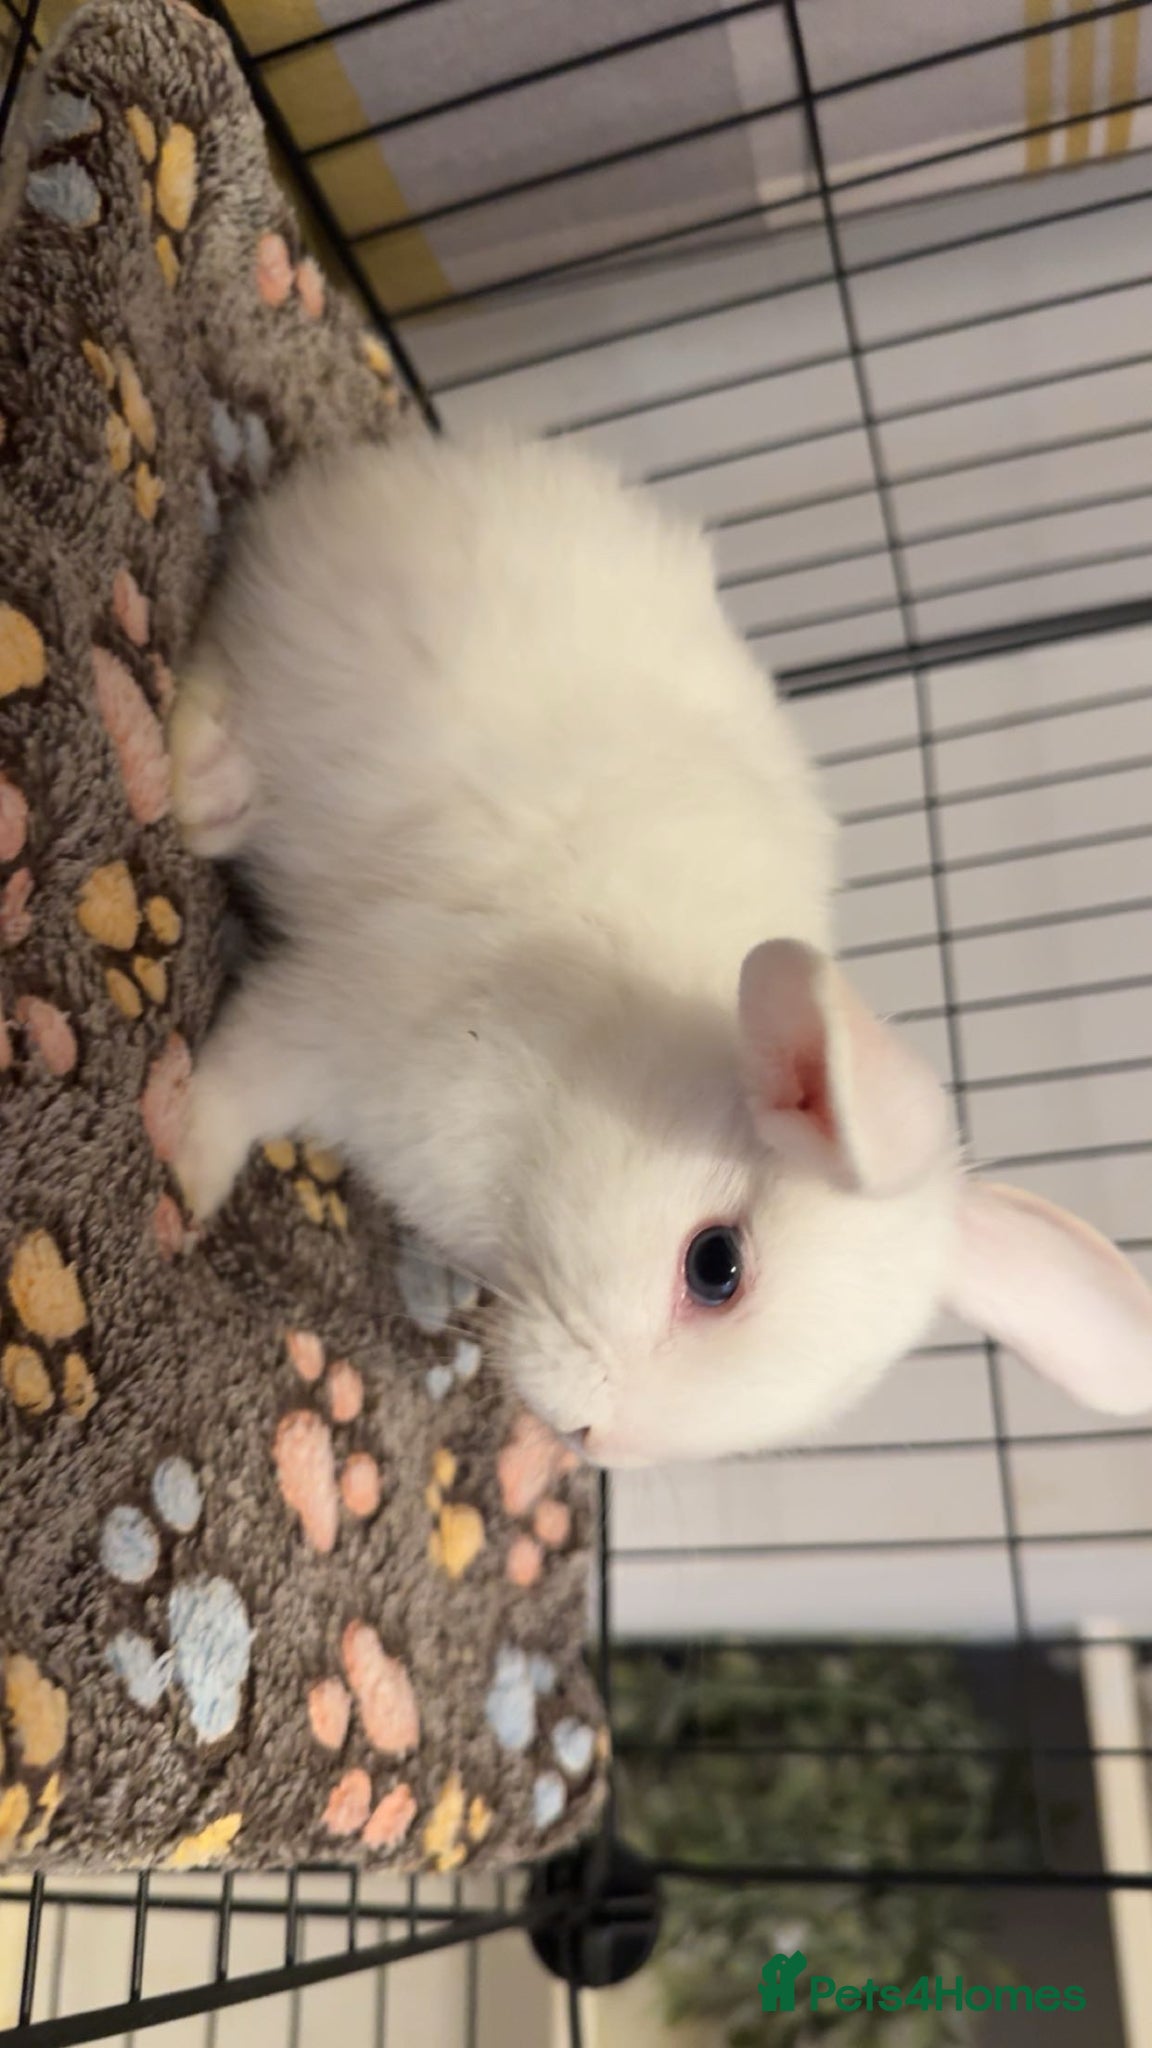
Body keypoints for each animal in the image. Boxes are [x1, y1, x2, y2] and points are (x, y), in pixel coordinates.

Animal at [168, 428, 1152, 1468]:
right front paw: (182, 1181)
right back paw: (201, 788)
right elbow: (239, 1083)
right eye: (715, 1265)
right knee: (222, 650)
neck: (584, 1082)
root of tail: (441, 457)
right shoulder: (344, 1013)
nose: (593, 1440)